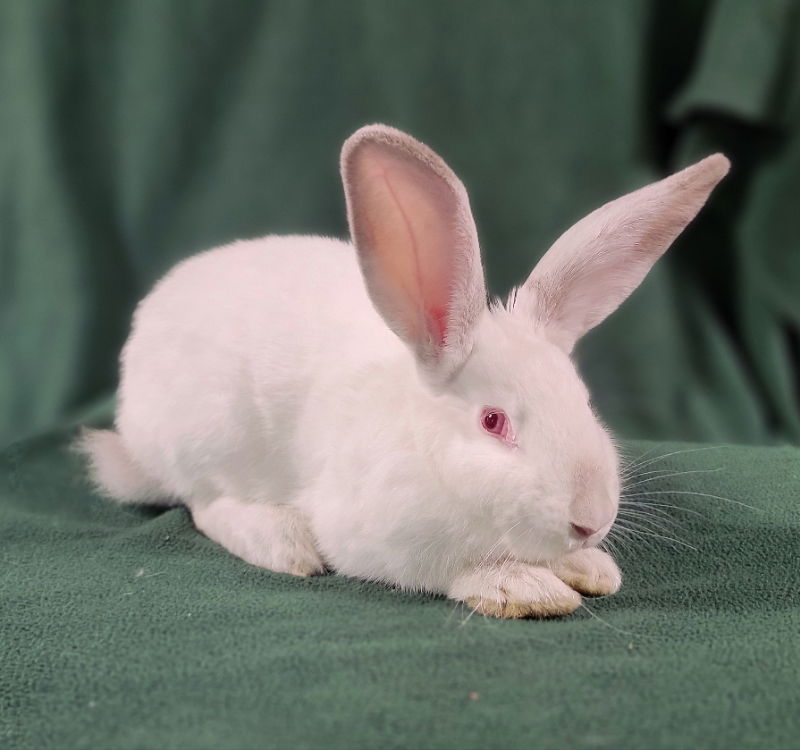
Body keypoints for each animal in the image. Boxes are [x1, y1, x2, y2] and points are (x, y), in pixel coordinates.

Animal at [79, 126, 724, 624]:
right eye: (493, 422)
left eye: (584, 402)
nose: (591, 520)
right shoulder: (383, 539)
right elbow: (453, 569)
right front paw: (523, 588)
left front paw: (591, 567)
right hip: (210, 441)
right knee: (204, 504)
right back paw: (285, 543)